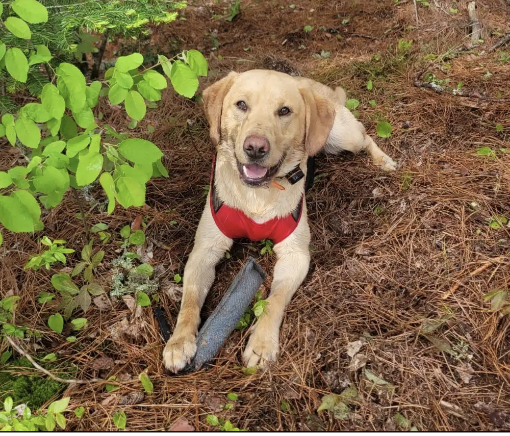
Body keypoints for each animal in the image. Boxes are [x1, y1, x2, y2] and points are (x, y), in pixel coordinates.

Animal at [162, 70, 394, 372]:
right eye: (241, 104)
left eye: (284, 111)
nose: (255, 148)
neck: (258, 194)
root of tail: (317, 87)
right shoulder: (204, 251)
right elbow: (189, 300)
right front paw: (180, 341)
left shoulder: (295, 255)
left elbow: (274, 300)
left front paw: (261, 344)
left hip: (344, 137)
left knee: (365, 137)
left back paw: (383, 159)